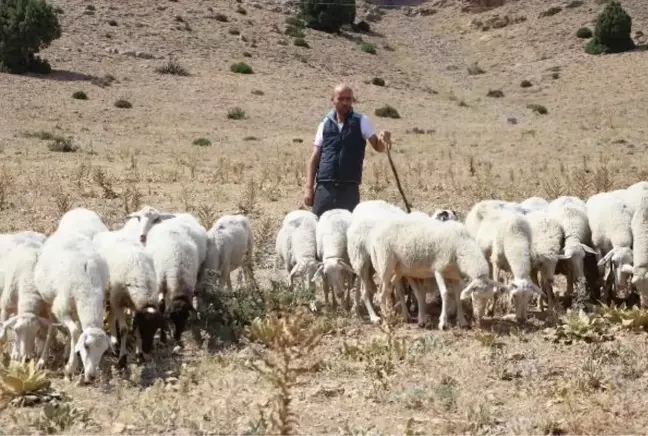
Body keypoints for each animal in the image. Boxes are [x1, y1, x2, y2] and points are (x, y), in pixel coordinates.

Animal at [92, 230, 163, 366]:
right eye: (144, 327)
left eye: (155, 328)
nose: (147, 349)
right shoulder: (118, 302)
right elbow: (124, 330)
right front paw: (122, 359)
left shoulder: (136, 306)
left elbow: (134, 328)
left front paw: (139, 355)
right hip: (109, 295)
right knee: (110, 317)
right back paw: (114, 344)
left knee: (110, 316)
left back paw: (115, 344)